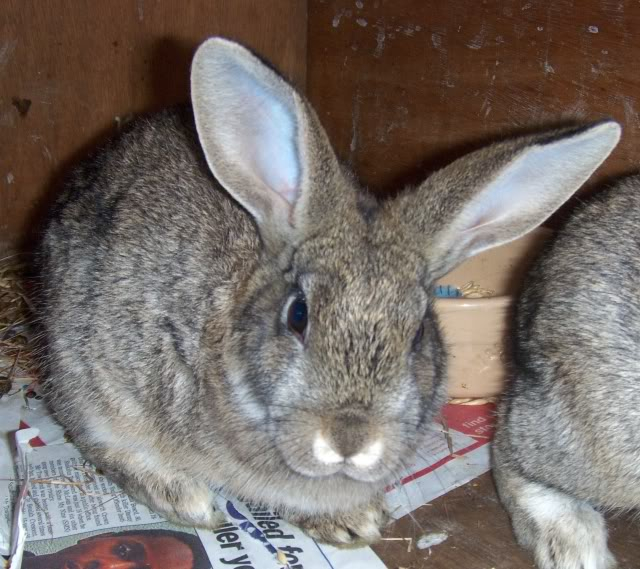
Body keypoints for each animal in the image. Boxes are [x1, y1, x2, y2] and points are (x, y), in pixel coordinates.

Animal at [38, 36, 620, 544]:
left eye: (417, 335)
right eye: (298, 315)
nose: (350, 440)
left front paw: (355, 519)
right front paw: (350, 521)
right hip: (81, 375)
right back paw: (188, 500)